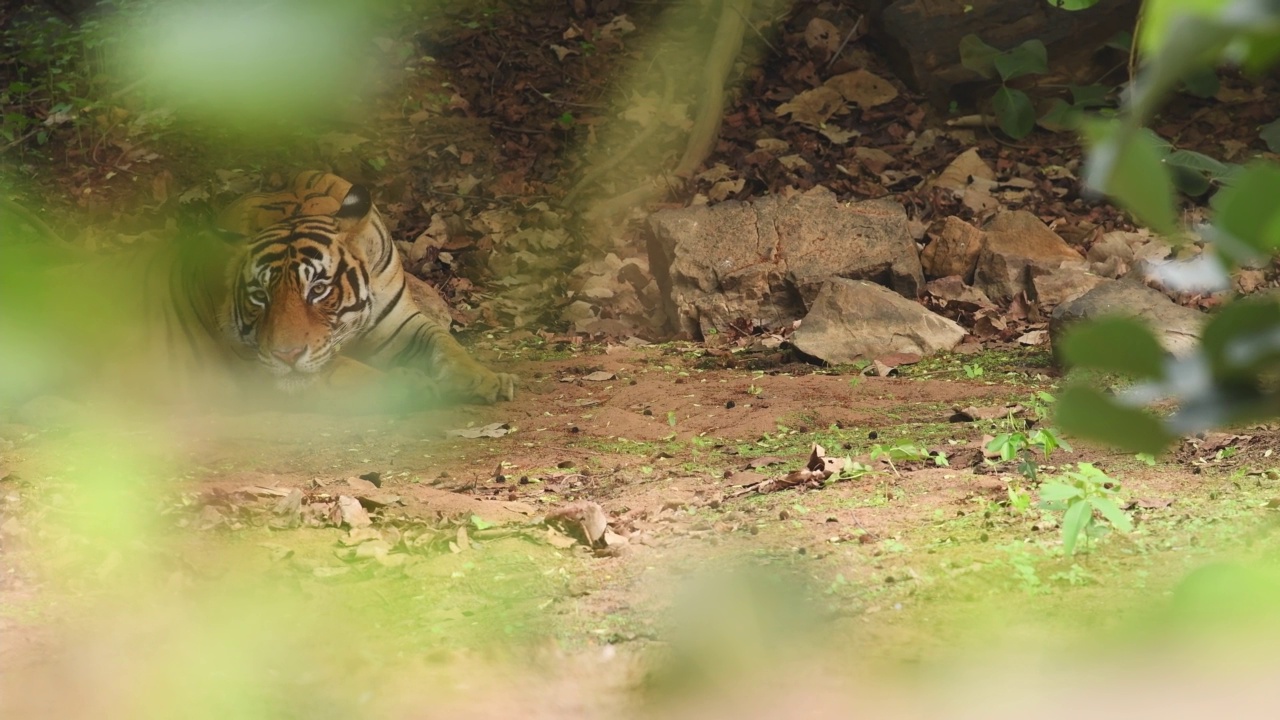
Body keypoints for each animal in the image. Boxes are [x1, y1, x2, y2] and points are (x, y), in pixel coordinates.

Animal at [2, 167, 519, 409]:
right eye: (259, 297)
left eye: (319, 290)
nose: (286, 354)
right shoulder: (257, 363)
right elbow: (343, 371)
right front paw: (412, 385)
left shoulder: (398, 323)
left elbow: (445, 343)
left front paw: (487, 378)